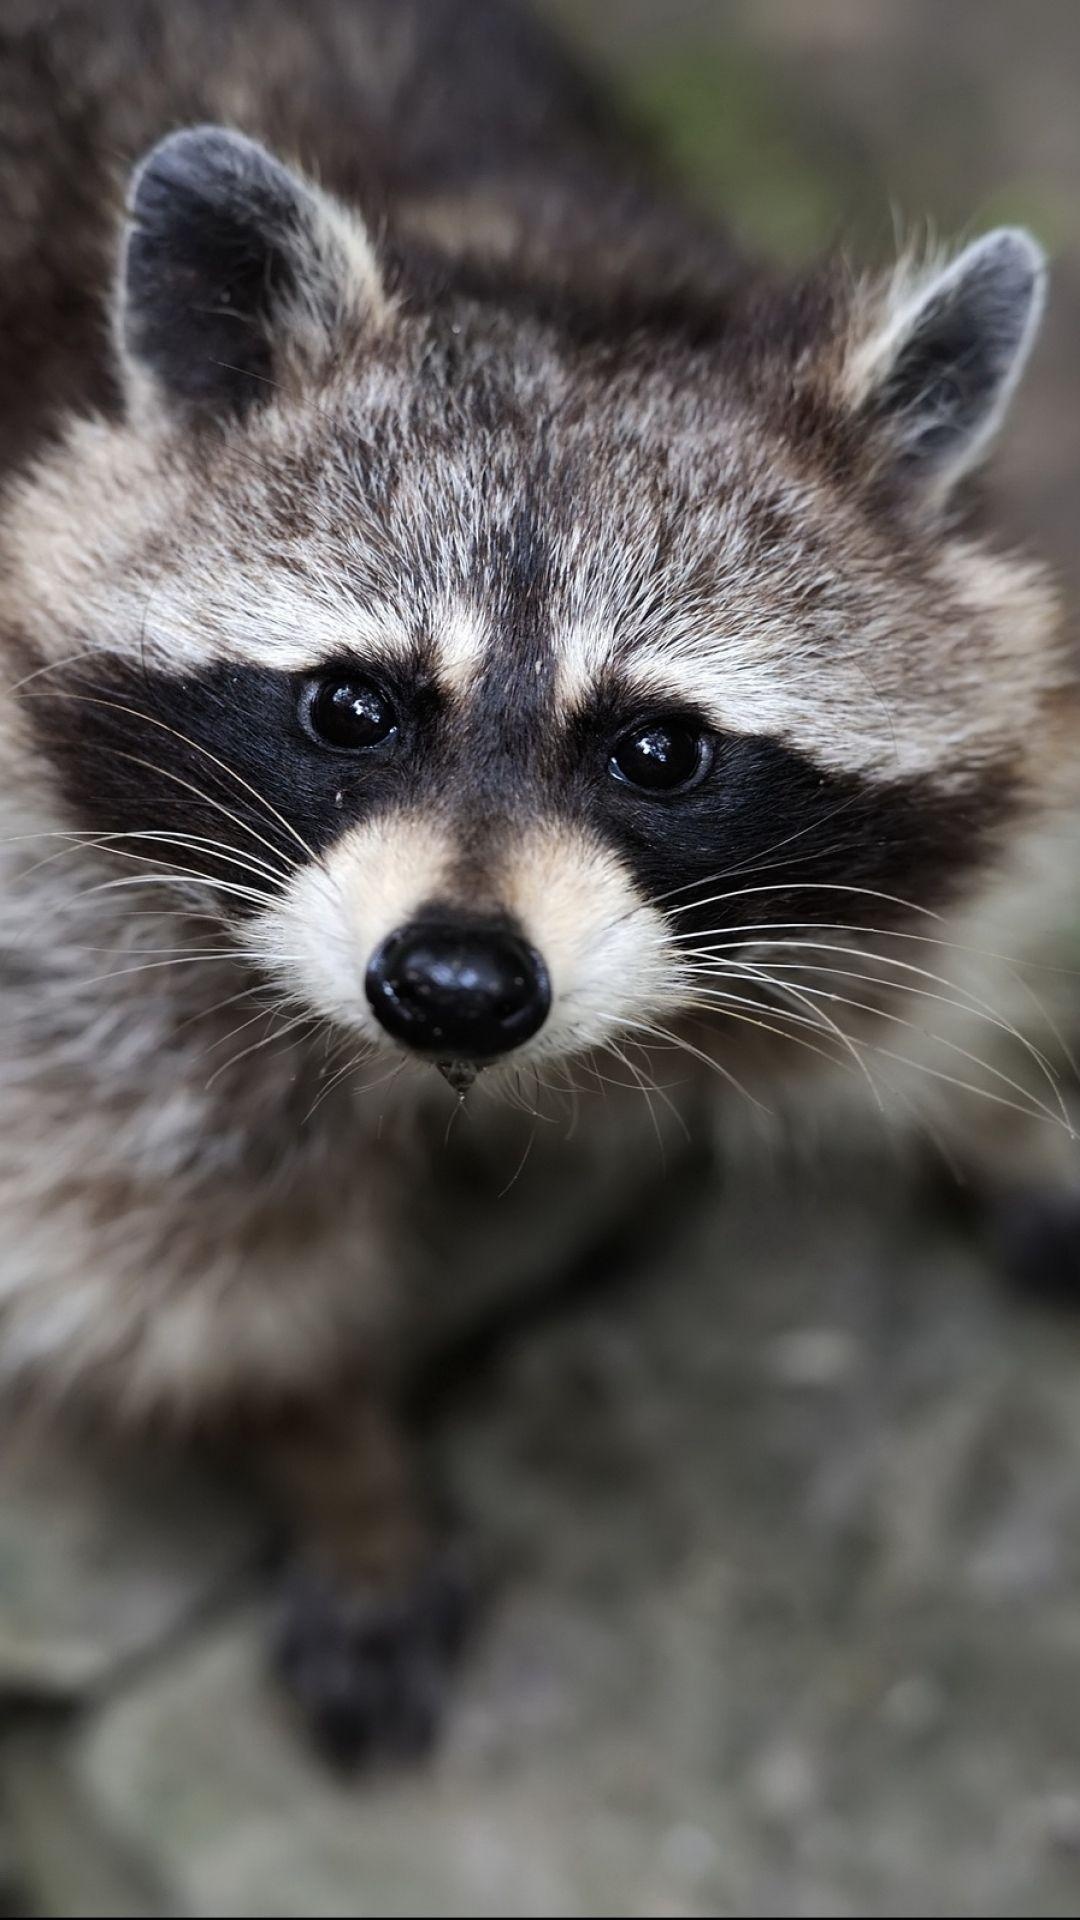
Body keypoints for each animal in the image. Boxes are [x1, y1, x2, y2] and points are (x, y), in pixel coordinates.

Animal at [0, 0, 1075, 1762]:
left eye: (661, 750)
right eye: (350, 708)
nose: (455, 986)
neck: (536, 253)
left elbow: (911, 958)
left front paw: (988, 1106)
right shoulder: (54, 887)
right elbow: (172, 1251)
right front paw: (334, 1458)